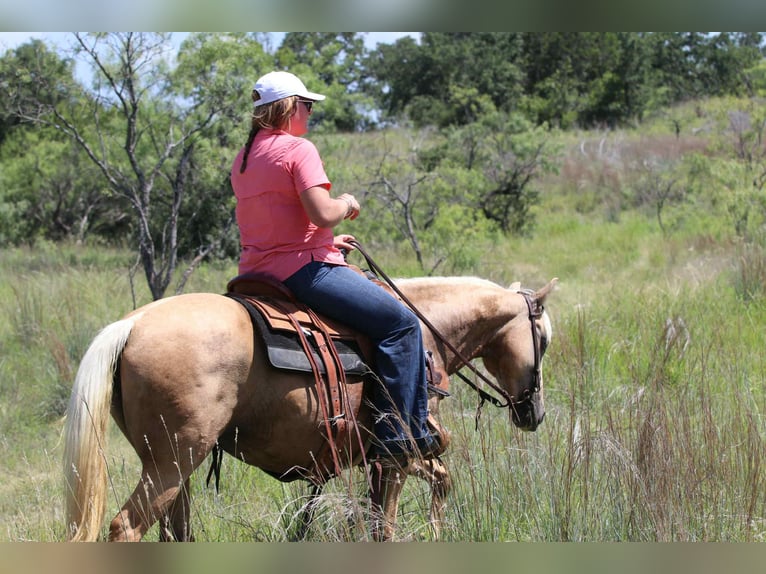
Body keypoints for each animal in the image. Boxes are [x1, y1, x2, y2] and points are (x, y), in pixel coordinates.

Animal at [63, 274, 557, 542]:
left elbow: (433, 485)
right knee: (126, 527)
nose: (533, 413)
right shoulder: (400, 451)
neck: (424, 331)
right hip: (173, 460)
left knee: (173, 531)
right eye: (545, 339)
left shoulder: (382, 456)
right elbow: (390, 522)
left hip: (175, 466)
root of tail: (131, 324)